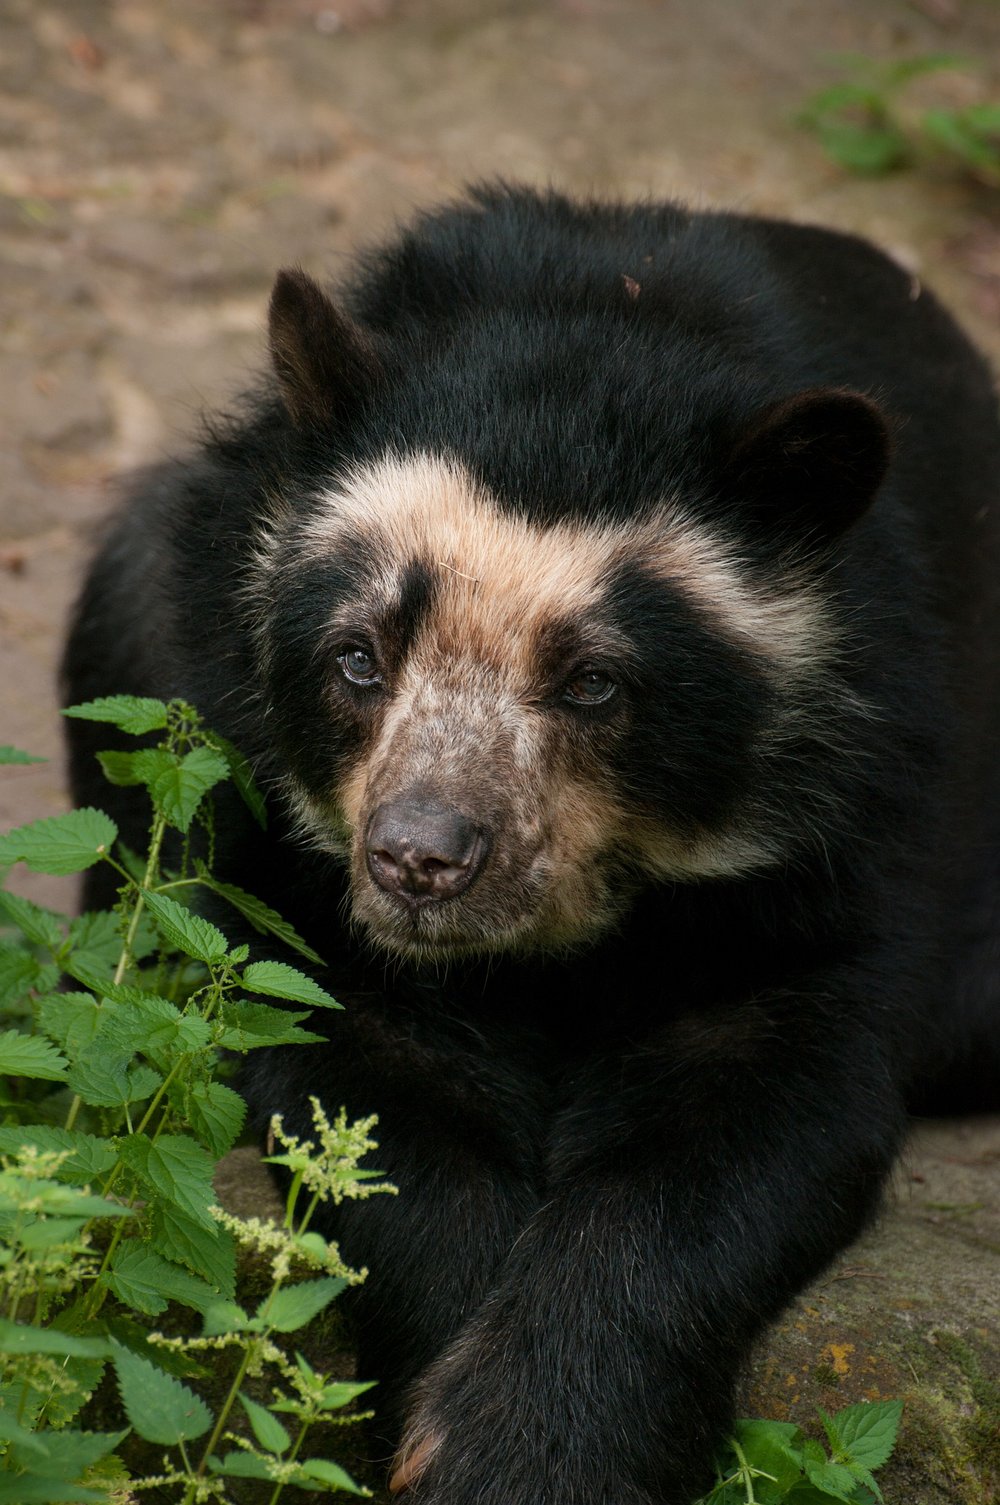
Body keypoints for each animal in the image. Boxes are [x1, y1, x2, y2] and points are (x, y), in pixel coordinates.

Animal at [62, 182, 1000, 1498]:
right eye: (358, 655)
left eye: (594, 681)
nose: (419, 858)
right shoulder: (277, 850)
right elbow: (360, 1090)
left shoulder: (850, 833)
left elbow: (752, 1121)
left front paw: (533, 1447)